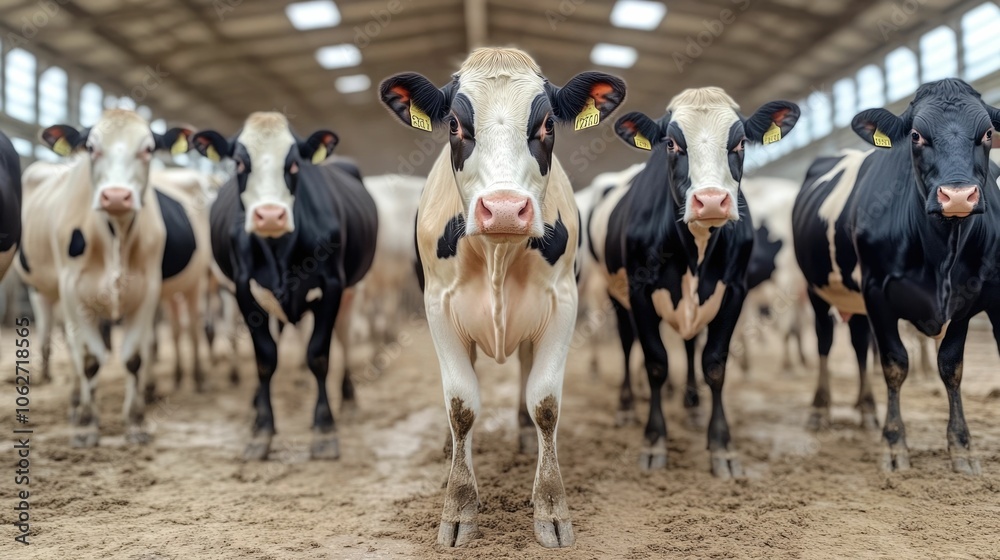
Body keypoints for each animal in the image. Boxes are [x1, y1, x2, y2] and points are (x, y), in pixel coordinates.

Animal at [16, 109, 191, 446]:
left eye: (148, 149)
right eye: (91, 147)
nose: (117, 196)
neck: (116, 235)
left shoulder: (148, 291)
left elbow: (135, 358)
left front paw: (136, 422)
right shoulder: (73, 291)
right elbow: (89, 359)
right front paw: (86, 424)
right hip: (43, 291)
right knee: (68, 347)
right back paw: (74, 403)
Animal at [190, 111, 377, 461]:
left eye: (293, 165)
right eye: (239, 163)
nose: (269, 215)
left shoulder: (332, 286)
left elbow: (318, 356)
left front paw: (325, 430)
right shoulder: (244, 290)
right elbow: (266, 358)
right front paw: (262, 431)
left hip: (352, 291)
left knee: (345, 339)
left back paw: (348, 398)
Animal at [379, 47, 625, 548]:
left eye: (547, 123)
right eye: (455, 124)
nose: (506, 210)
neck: (498, 253)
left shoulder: (563, 305)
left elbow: (544, 403)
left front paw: (550, 507)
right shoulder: (439, 308)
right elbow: (462, 406)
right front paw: (458, 506)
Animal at [589, 87, 799, 477]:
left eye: (741, 142)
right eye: (671, 143)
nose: (712, 201)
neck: (695, 250)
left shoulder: (734, 291)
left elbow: (713, 364)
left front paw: (722, 446)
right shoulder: (640, 292)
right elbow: (656, 362)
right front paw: (654, 440)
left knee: (688, 345)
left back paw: (692, 403)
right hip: (608, 289)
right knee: (626, 342)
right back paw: (626, 404)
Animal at [792, 78, 1000, 473]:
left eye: (987, 134)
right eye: (916, 135)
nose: (957, 197)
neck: (941, 253)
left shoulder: (967, 301)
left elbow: (951, 366)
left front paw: (962, 447)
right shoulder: (877, 293)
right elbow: (894, 364)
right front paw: (894, 445)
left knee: (858, 344)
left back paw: (866, 411)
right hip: (816, 289)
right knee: (825, 342)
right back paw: (819, 410)